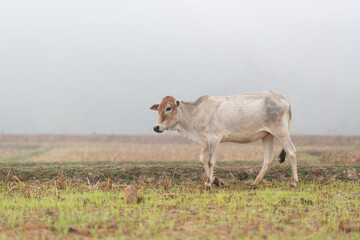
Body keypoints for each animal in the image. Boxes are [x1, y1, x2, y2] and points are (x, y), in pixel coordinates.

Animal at [149, 90, 298, 189]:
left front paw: (209, 183)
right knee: (268, 158)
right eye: (158, 109)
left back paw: (294, 181)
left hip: (280, 132)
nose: (156, 127)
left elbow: (210, 161)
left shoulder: (214, 139)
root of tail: (283, 99)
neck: (195, 114)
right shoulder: (206, 143)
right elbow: (202, 160)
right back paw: (255, 183)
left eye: (168, 108)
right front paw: (214, 180)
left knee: (292, 152)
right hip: (267, 135)